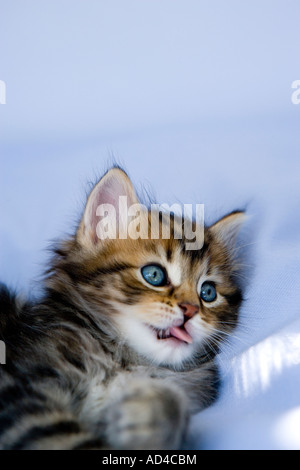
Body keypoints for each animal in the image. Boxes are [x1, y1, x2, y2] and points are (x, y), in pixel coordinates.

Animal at [0, 167, 246, 450]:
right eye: (154, 275)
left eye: (207, 293)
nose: (190, 310)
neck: (126, 363)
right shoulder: (22, 395)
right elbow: (68, 440)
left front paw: (151, 414)